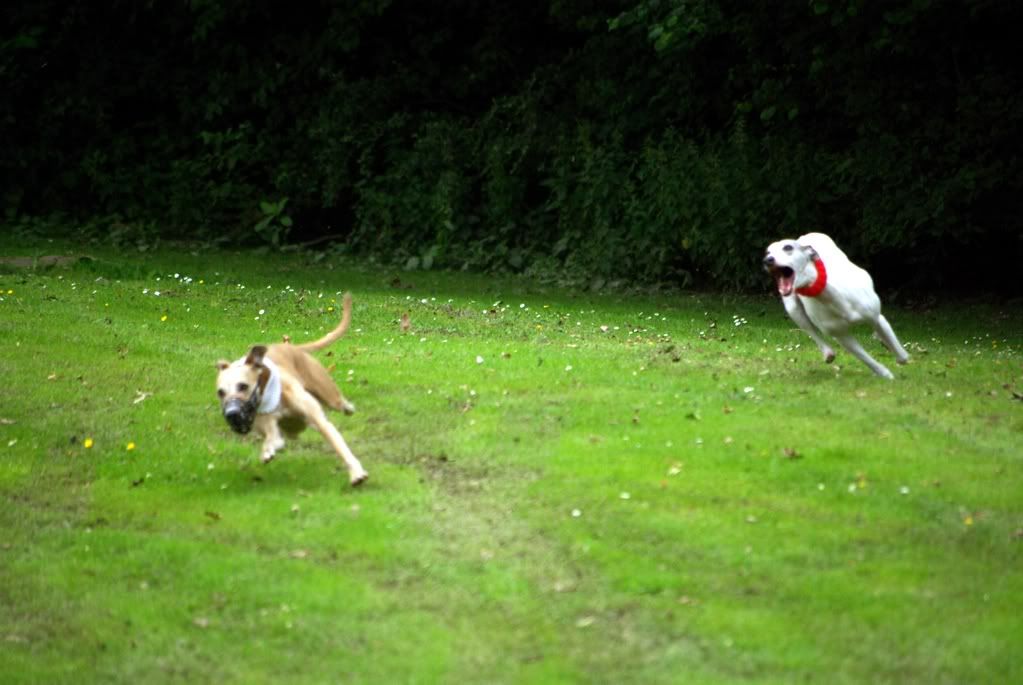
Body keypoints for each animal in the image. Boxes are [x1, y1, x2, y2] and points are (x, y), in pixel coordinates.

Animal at [213, 292, 370, 486]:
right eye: (220, 392)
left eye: (243, 386)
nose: (232, 414)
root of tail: (291, 347)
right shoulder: (265, 420)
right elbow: (272, 435)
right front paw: (269, 448)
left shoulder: (320, 422)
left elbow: (340, 446)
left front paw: (356, 473)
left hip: (327, 393)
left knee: (339, 403)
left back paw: (347, 407)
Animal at [765, 233, 908, 378]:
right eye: (768, 252)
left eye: (788, 247)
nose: (767, 260)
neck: (835, 299)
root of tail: (802, 237)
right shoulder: (841, 336)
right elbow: (864, 357)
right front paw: (884, 372)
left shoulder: (876, 317)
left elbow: (901, 355)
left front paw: (892, 358)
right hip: (793, 309)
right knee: (812, 331)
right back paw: (828, 352)